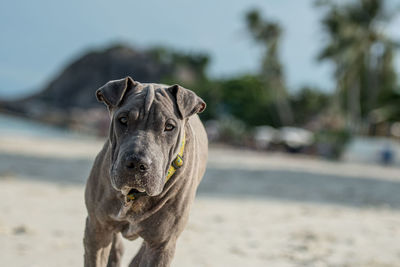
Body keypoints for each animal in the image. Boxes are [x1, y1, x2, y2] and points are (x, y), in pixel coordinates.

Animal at [85, 76, 209, 266]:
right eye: (123, 119)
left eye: (169, 126)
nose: (137, 163)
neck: (133, 196)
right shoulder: (97, 229)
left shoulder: (162, 245)